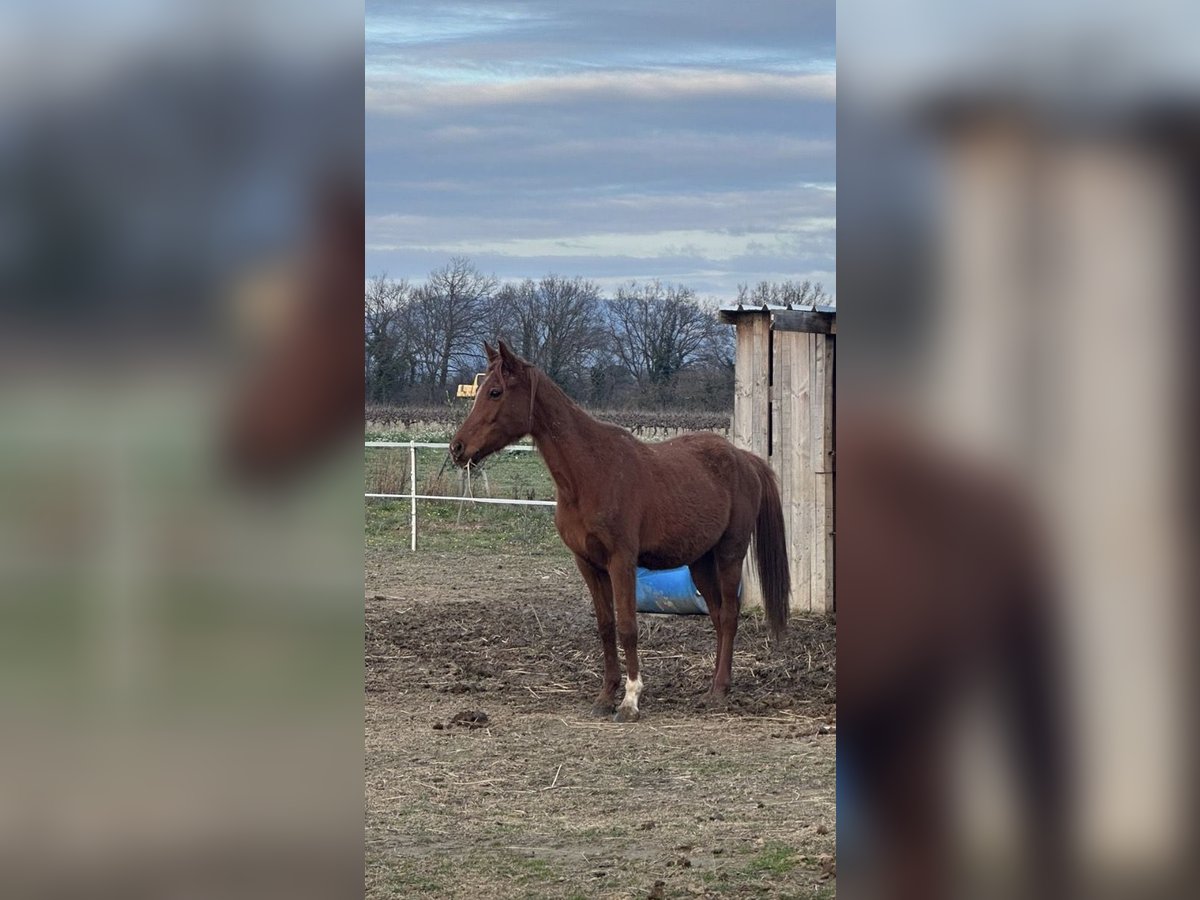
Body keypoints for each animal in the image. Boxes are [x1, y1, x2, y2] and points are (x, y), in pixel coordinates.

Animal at [449, 340, 790, 722]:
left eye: (495, 392)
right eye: (478, 392)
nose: (457, 448)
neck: (591, 473)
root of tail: (745, 458)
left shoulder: (621, 562)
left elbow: (628, 628)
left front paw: (630, 700)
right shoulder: (587, 564)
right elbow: (605, 626)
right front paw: (605, 696)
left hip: (730, 554)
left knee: (729, 615)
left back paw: (718, 691)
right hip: (700, 561)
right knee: (717, 616)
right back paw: (716, 685)